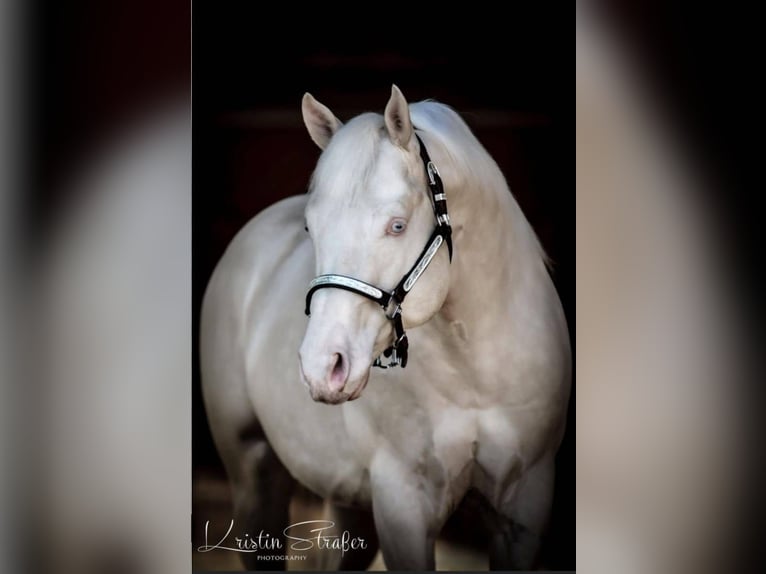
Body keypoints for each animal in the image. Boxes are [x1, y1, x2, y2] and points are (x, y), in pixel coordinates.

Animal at [200, 86, 571, 570]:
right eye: (310, 227)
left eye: (397, 225)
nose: (323, 367)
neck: (473, 378)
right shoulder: (403, 504)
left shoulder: (524, 504)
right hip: (253, 474)